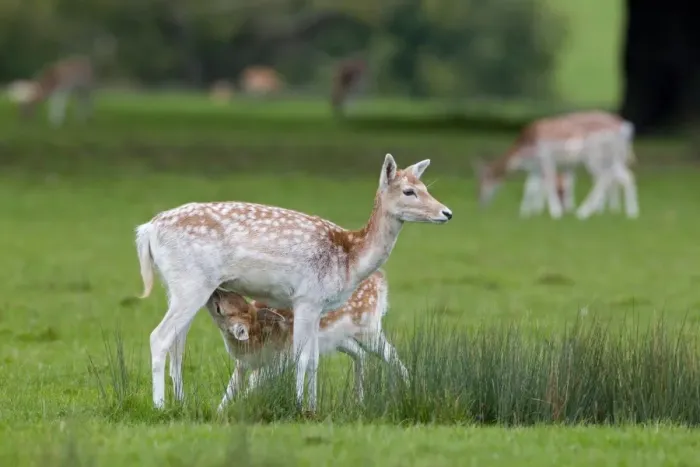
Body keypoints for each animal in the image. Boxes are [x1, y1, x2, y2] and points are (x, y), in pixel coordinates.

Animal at [206, 269, 408, 412]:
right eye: (234, 295)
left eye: (218, 308)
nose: (214, 290)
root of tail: (380, 280)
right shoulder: (242, 363)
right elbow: (230, 388)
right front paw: (219, 413)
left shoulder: (284, 358)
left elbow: (254, 382)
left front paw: (239, 406)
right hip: (340, 340)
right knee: (360, 354)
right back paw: (359, 400)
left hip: (369, 329)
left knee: (391, 354)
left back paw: (404, 388)